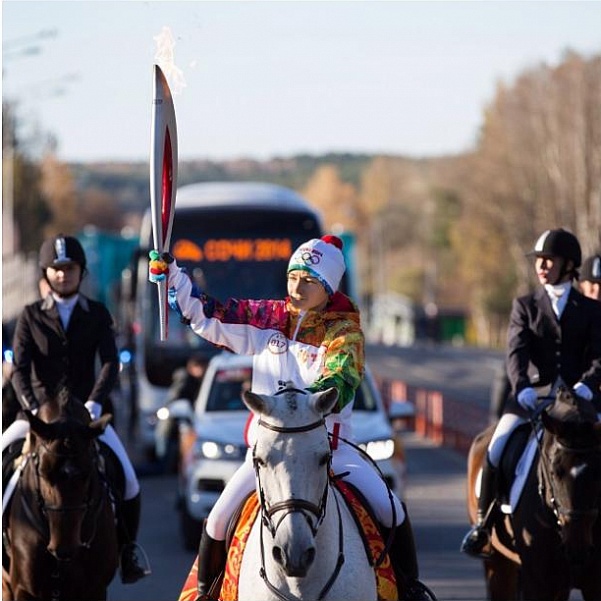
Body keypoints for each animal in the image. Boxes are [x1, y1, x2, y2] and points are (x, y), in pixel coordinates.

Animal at [464, 390, 600, 600]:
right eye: (554, 472)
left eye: (598, 472)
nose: (577, 547)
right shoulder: (538, 585)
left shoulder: (594, 584)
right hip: (498, 563)